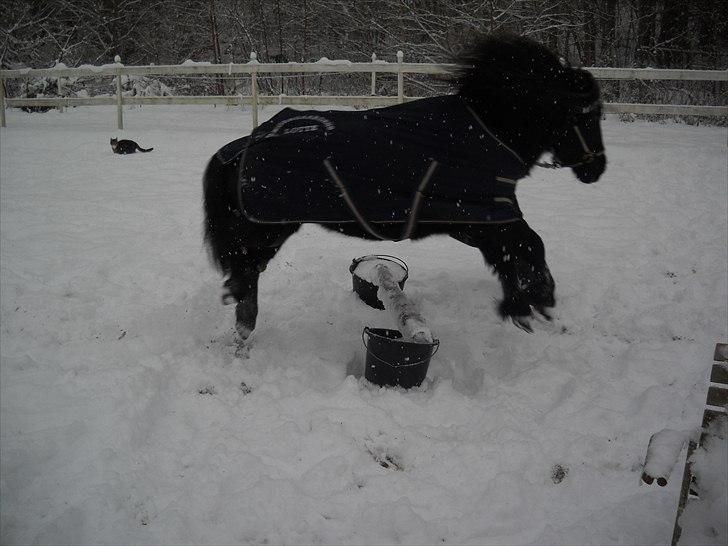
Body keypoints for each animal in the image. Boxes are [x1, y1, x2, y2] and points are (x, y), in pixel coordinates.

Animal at [202, 34, 604, 338]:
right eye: (588, 114)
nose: (597, 168)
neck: (486, 131)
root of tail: (241, 148)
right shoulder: (484, 215)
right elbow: (531, 244)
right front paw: (539, 299)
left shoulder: (476, 222)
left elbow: (510, 255)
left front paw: (522, 304)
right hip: (266, 232)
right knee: (247, 276)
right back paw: (244, 325)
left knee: (245, 275)